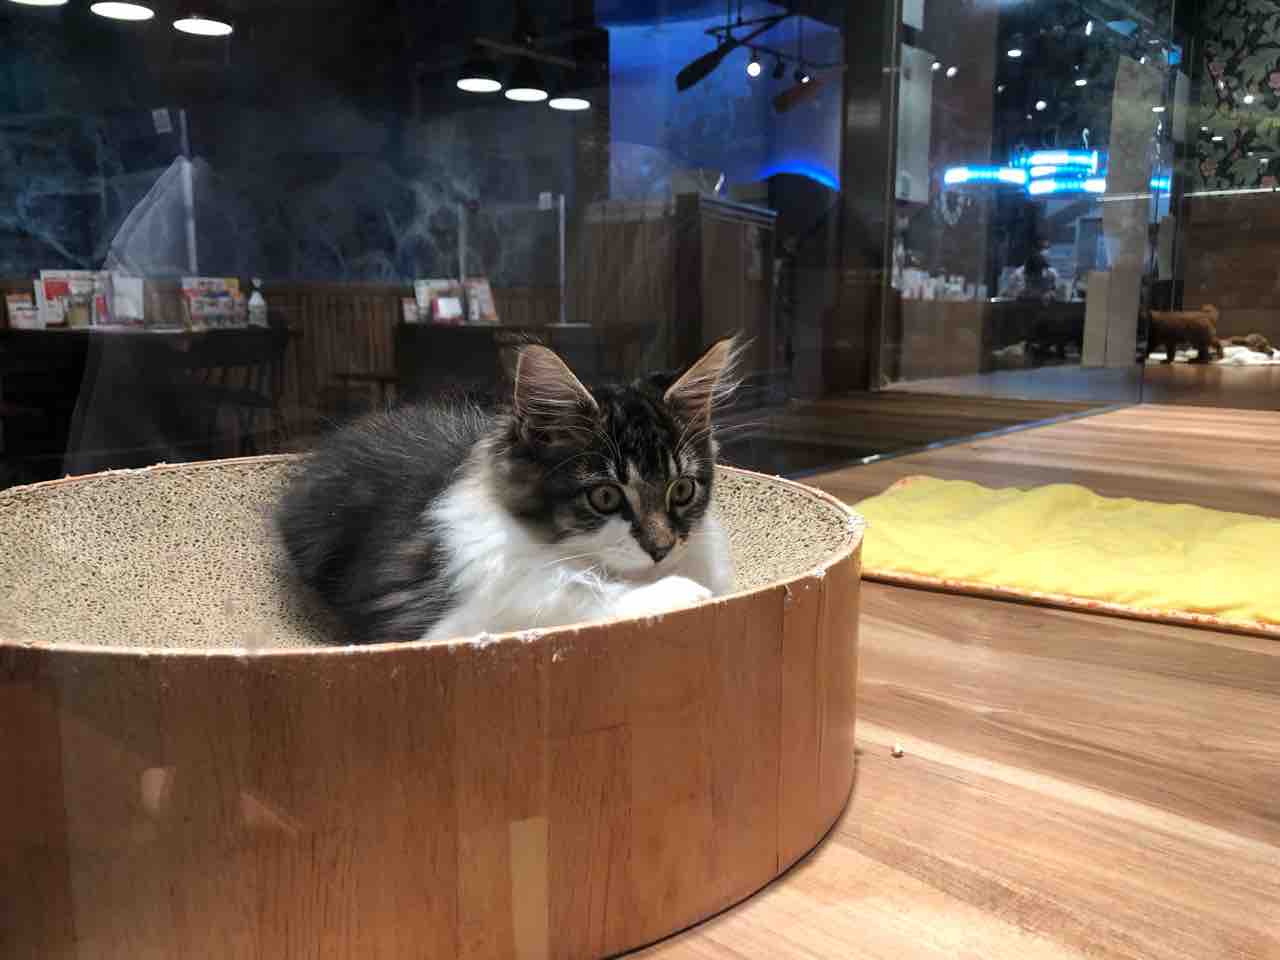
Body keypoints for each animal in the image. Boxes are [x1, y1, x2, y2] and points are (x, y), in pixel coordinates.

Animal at [276, 338, 741, 644]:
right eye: (605, 497)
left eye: (681, 490)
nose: (661, 548)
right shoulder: (450, 625)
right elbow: (576, 600)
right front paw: (680, 593)